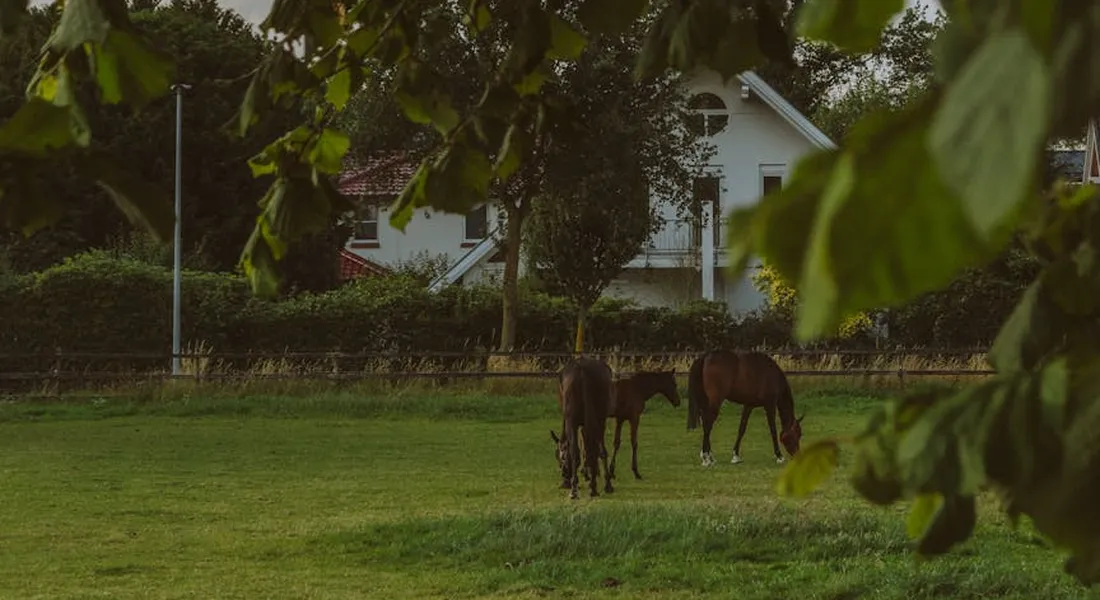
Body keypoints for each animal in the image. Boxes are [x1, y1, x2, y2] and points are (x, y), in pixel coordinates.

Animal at [549, 356, 614, 499]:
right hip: (597, 420)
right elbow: (588, 448)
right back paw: (596, 486)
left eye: (560, 457)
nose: (564, 476)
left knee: (581, 451)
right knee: (595, 450)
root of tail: (582, 370)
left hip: (581, 421)